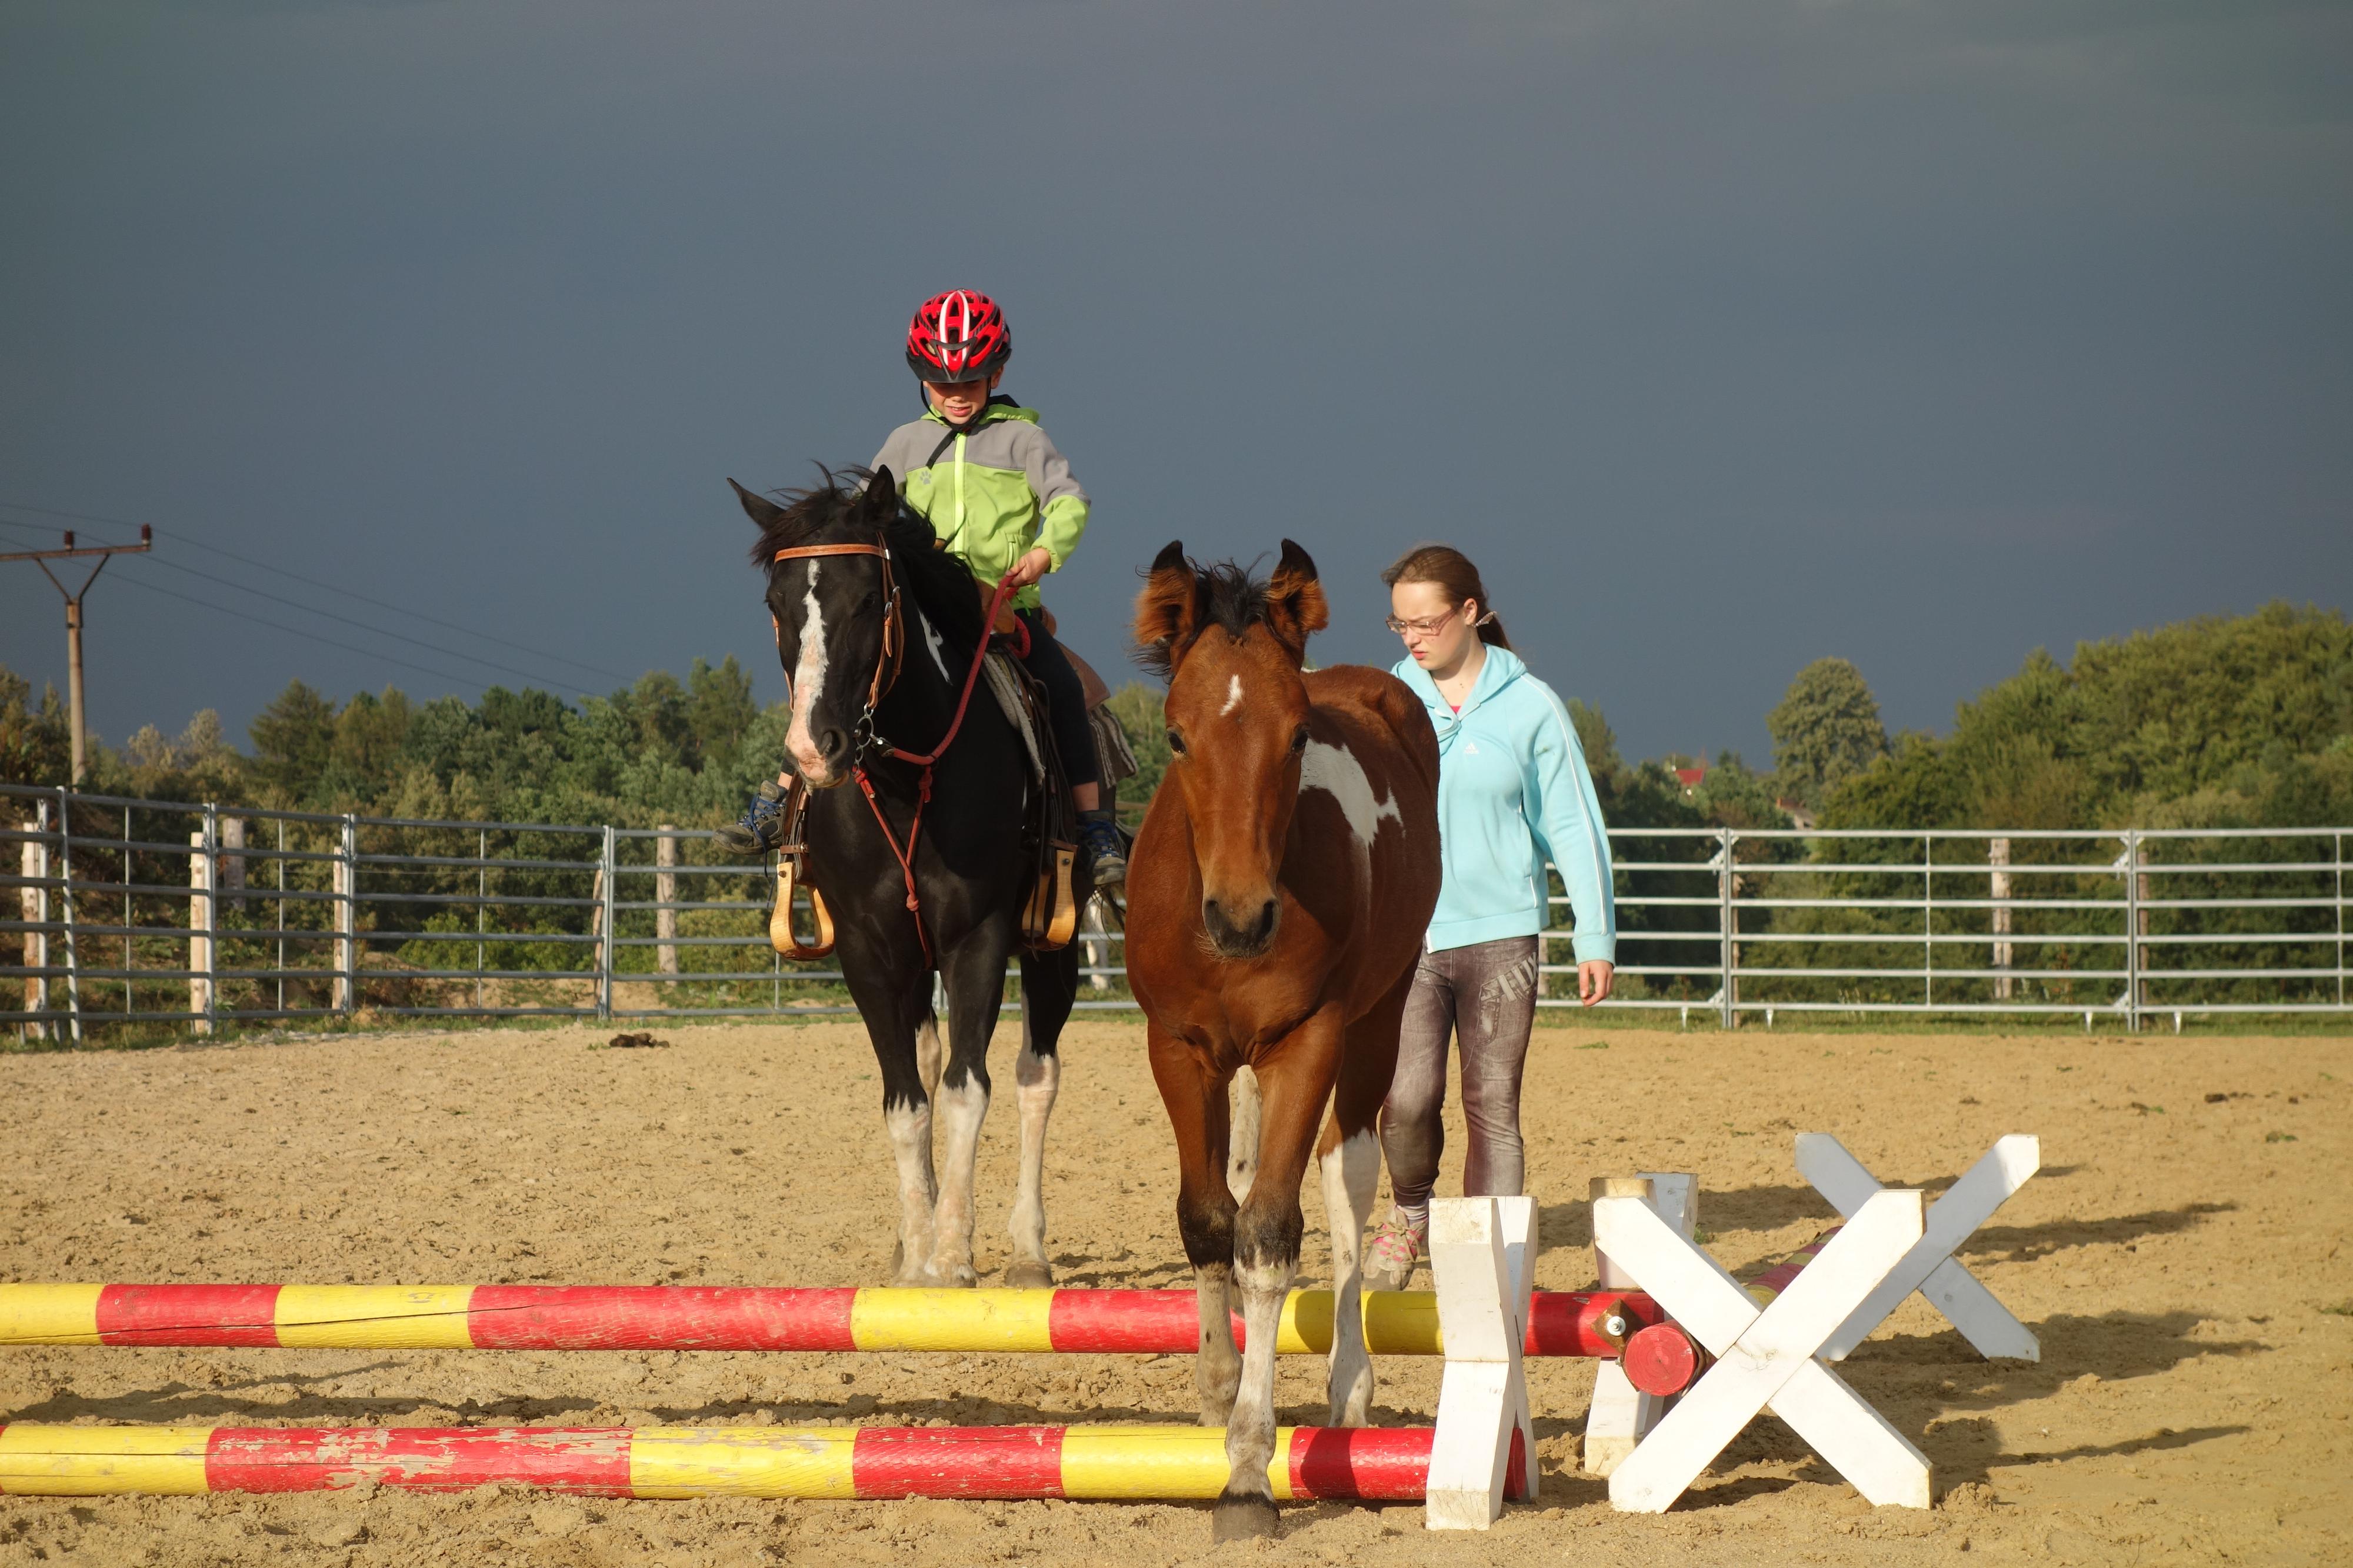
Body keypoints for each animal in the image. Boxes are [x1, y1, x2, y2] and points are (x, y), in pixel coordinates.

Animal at [732, 467, 1086, 1289]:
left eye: (869, 597)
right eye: (776, 602)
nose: (815, 746)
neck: (905, 781)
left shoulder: (978, 939)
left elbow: (965, 1090)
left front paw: (953, 1256)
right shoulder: (868, 950)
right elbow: (907, 1100)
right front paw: (917, 1254)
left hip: (1052, 949)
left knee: (1035, 1075)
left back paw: (1027, 1250)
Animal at [1122, 539, 1441, 1540]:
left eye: (1299, 735)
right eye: (1177, 735)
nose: (1242, 916)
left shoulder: (1308, 1042)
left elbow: (1266, 1231)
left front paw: (1247, 1472)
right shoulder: (1180, 1049)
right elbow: (1206, 1216)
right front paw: (1216, 1390)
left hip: (1377, 1022)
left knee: (1349, 1174)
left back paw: (1351, 1387)